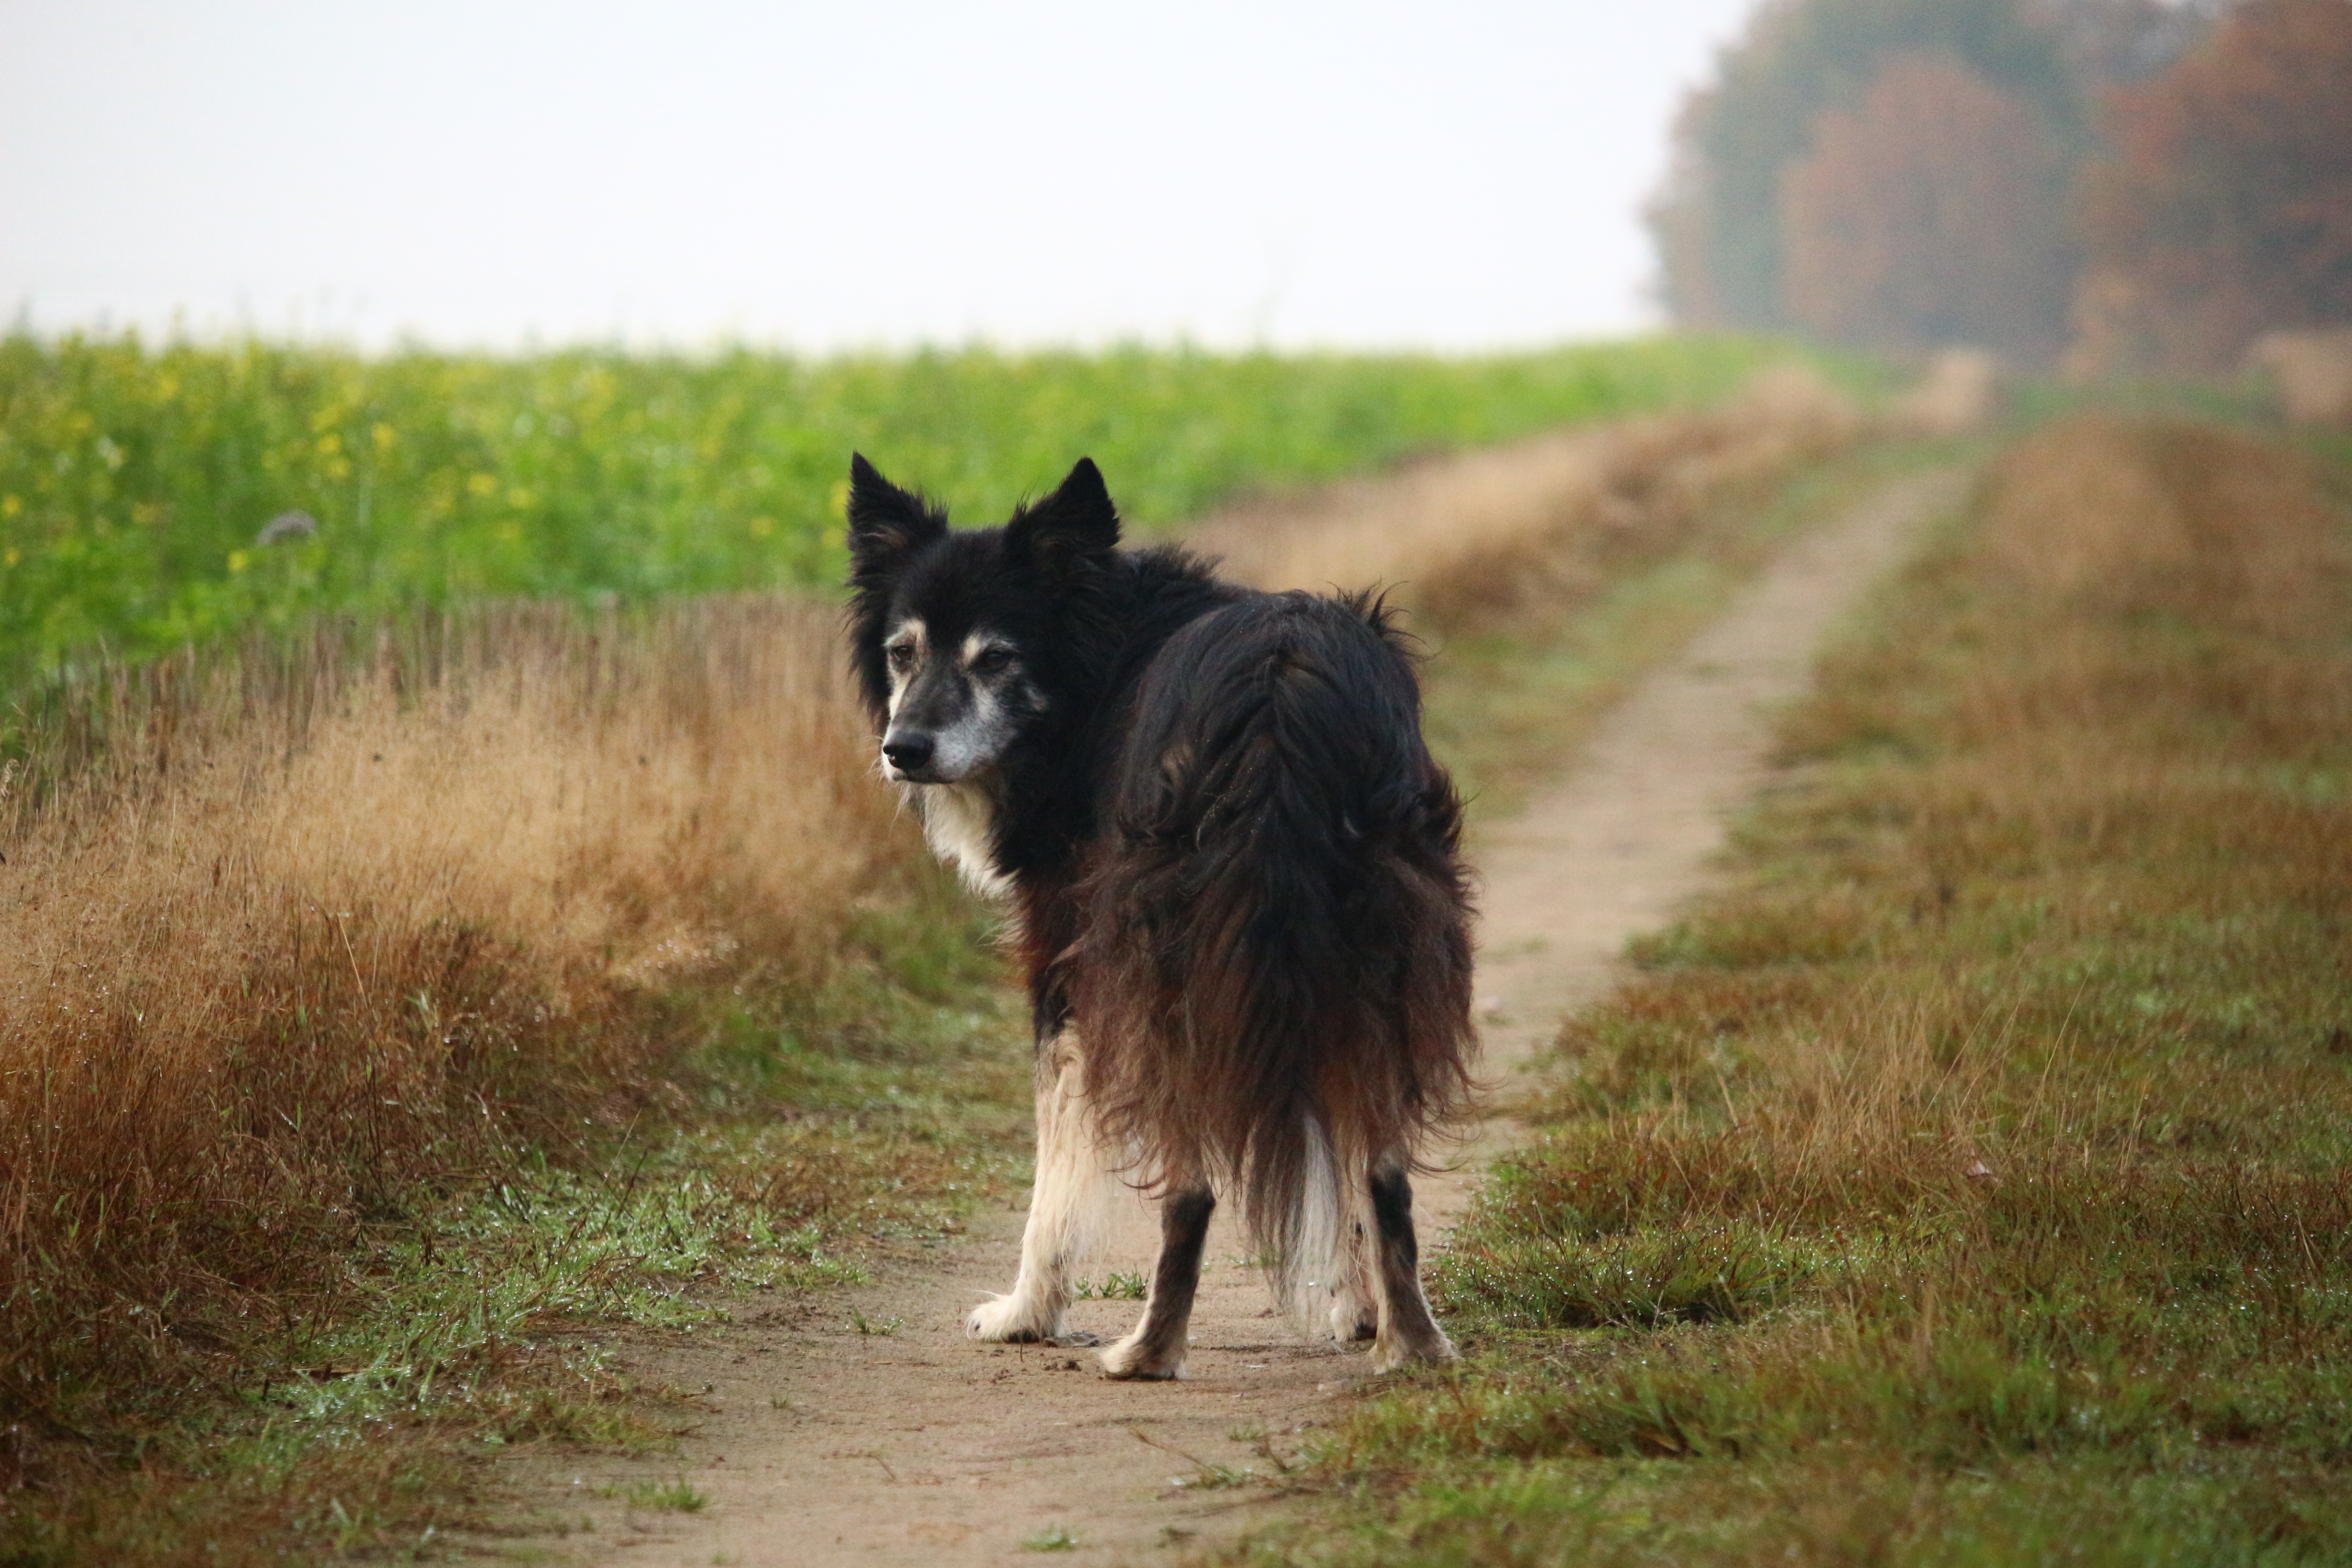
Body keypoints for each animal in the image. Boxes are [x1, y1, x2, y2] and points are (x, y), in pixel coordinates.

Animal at [847, 456, 1467, 1382]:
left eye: (997, 660)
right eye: (902, 652)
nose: (904, 751)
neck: (1096, 659)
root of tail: (1279, 687)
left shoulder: (1067, 968)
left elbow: (1055, 1164)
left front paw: (1024, 1313)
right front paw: (1356, 1313)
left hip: (1163, 974)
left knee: (1191, 1186)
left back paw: (1145, 1350)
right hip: (1378, 955)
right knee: (1385, 1170)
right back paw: (1415, 1345)